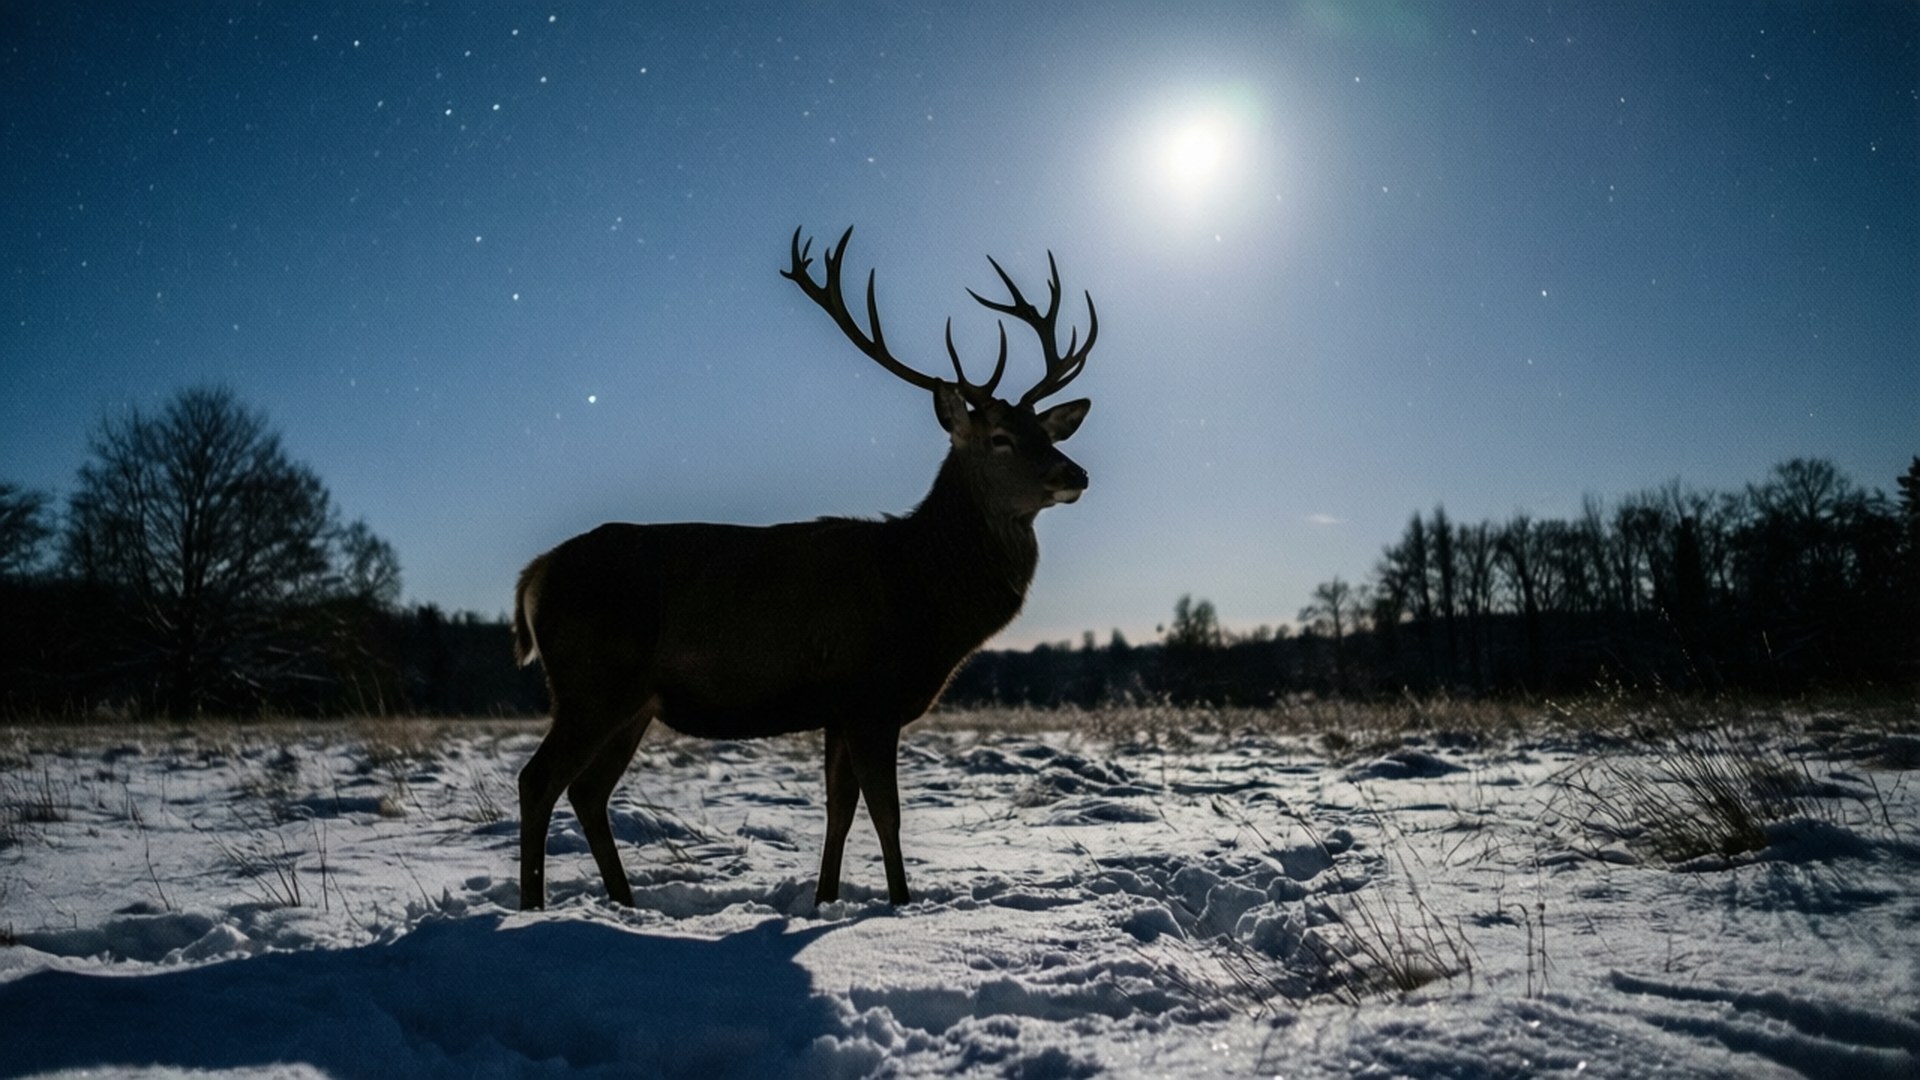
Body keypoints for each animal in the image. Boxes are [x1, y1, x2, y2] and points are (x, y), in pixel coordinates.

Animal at [512, 226, 1096, 910]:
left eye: (1045, 432)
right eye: (1000, 438)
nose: (1075, 473)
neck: (923, 591)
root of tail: (535, 575)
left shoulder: (839, 710)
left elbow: (839, 811)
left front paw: (825, 898)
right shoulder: (869, 695)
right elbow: (886, 814)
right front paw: (902, 904)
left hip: (632, 701)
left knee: (587, 791)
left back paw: (625, 903)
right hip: (591, 682)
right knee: (537, 781)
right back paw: (533, 908)